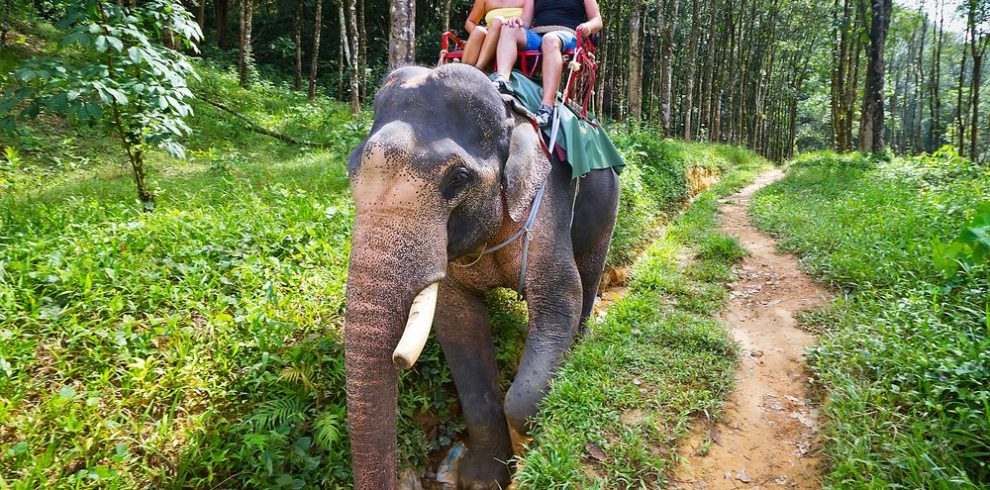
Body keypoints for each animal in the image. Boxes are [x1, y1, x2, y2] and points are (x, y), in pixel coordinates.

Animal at [344, 62, 616, 490]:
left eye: (457, 178)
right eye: (351, 168)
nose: (399, 361)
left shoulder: (547, 205)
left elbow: (562, 299)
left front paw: (530, 443)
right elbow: (458, 325)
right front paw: (482, 478)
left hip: (608, 199)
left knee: (588, 278)